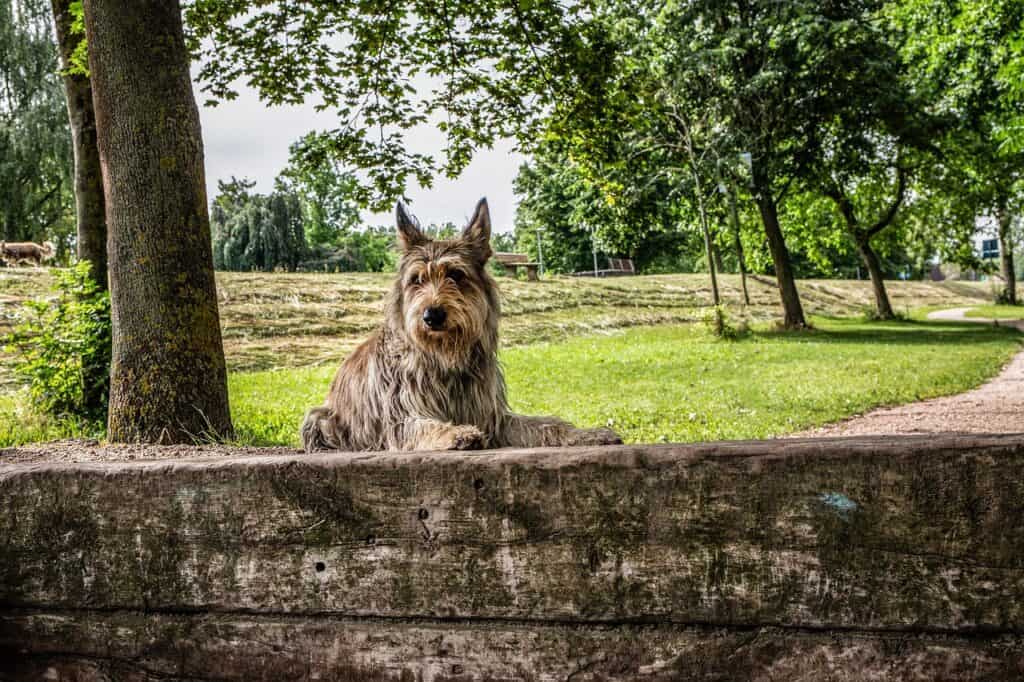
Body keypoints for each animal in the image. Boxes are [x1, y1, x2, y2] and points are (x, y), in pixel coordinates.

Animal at [299, 197, 618, 450]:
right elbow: (423, 426)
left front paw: (588, 434)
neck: (446, 360)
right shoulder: (399, 420)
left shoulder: (492, 417)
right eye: (417, 280)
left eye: (456, 274)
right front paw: (455, 433)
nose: (432, 315)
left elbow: (546, 424)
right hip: (318, 418)